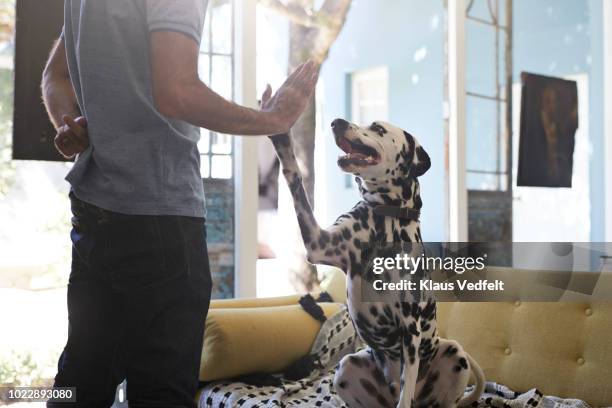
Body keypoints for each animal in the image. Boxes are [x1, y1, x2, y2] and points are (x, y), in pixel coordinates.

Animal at [270, 118, 486, 408]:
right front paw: (282, 138)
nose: (336, 122)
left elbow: (407, 386)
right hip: (346, 368)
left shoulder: (410, 330)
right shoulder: (319, 243)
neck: (386, 220)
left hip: (454, 353)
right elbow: (295, 178)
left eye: (378, 129)